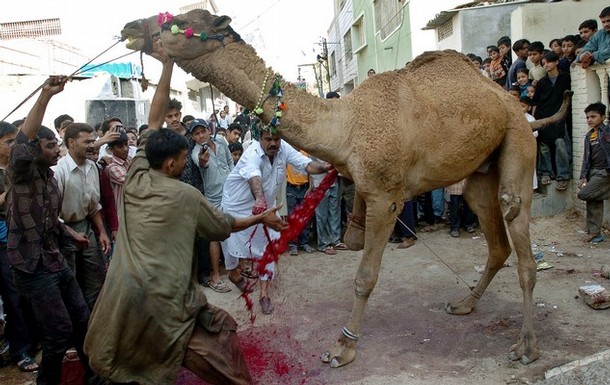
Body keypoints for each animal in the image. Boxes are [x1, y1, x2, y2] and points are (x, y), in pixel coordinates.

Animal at [121, 9, 568, 368]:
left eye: (177, 20)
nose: (130, 27)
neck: (346, 126)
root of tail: (514, 104)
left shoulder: (387, 198)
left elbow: (365, 276)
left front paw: (343, 347)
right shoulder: (359, 186)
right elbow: (352, 244)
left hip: (517, 142)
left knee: (517, 227)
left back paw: (526, 346)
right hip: (480, 169)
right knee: (496, 241)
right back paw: (464, 303)